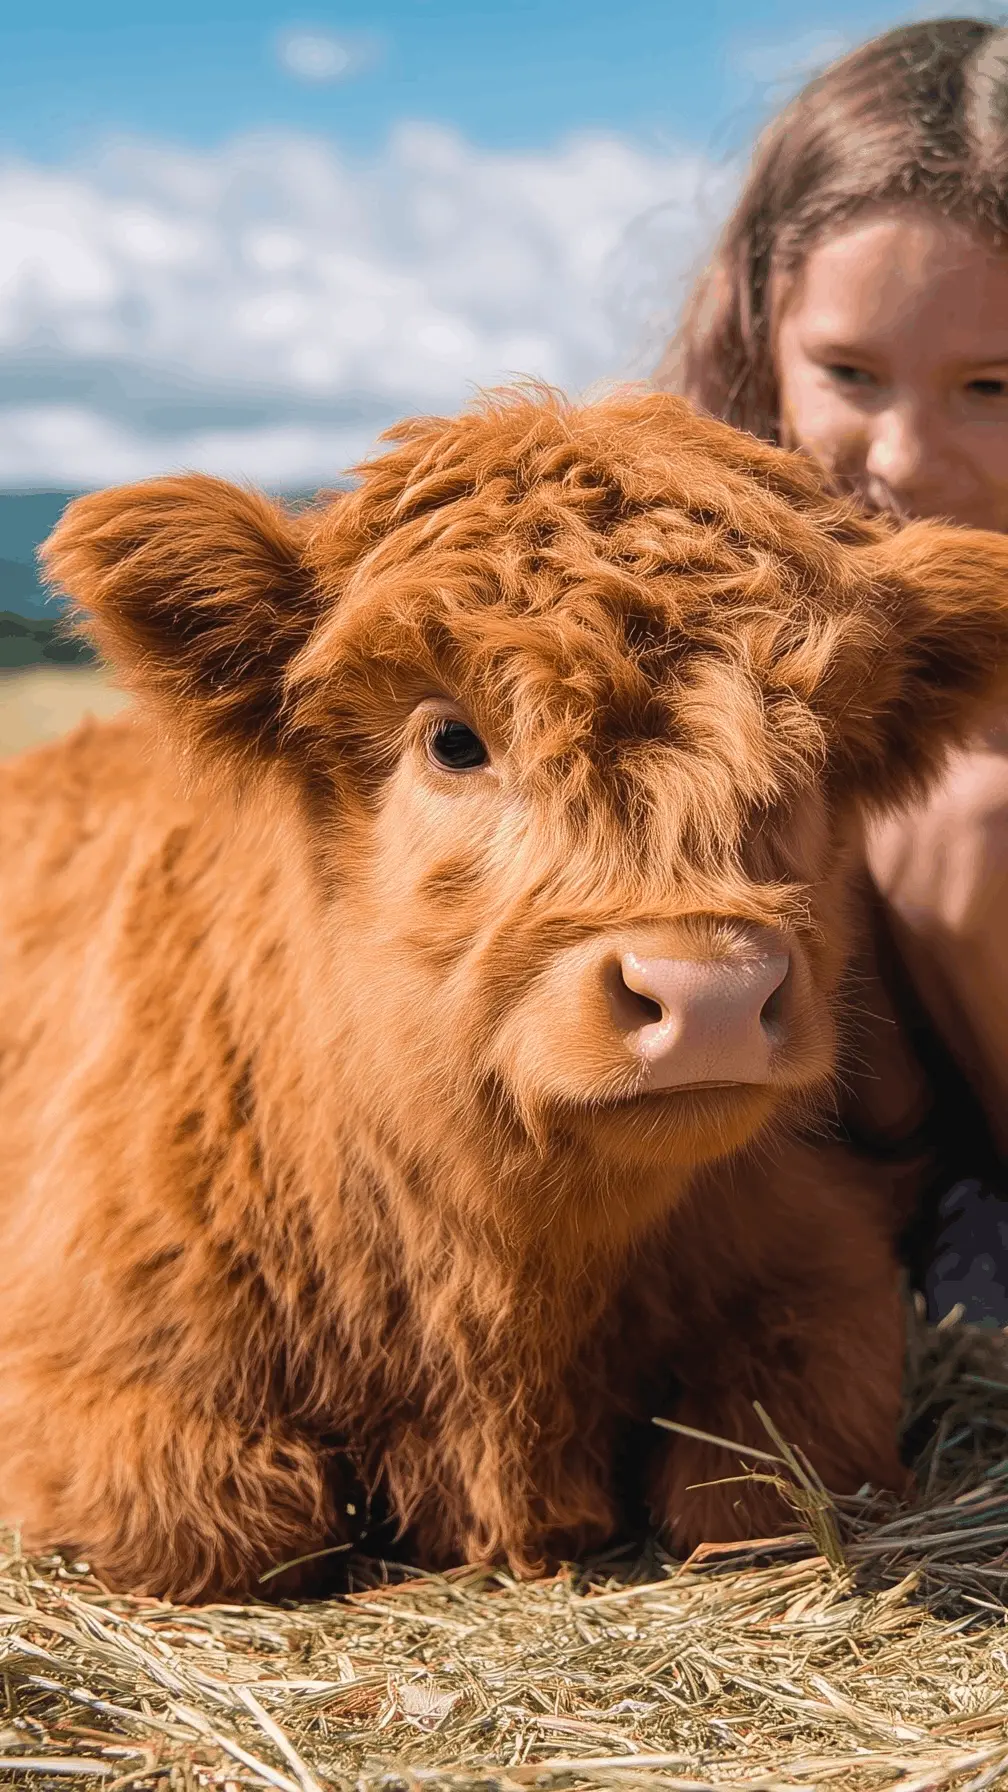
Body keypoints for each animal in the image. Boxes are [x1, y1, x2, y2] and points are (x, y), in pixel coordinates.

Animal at [1, 389, 1006, 1602]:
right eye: (453, 739)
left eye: (814, 751)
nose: (710, 995)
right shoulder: (78, 1353)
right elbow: (228, 1516)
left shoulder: (823, 1269)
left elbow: (760, 1480)